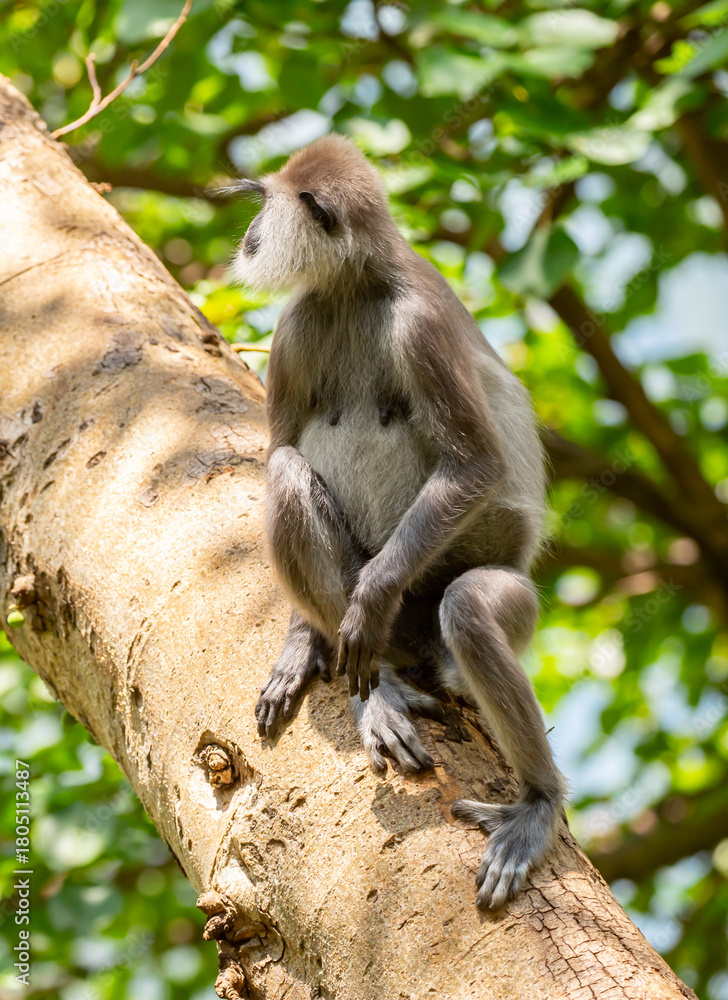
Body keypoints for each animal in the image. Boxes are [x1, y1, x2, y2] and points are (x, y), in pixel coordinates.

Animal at [232, 134, 565, 910]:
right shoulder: (296, 325)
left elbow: (474, 464)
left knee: (468, 606)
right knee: (286, 471)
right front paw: (303, 640)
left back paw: (537, 801)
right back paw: (375, 686)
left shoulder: (418, 323)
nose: (249, 234)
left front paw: (372, 598)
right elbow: (278, 445)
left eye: (264, 204)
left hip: (495, 592)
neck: (354, 289)